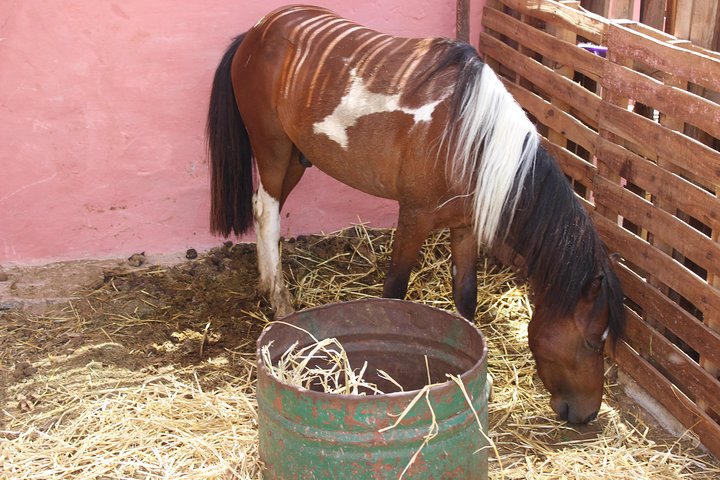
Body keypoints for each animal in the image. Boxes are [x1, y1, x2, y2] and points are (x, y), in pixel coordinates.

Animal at [206, 5, 625, 424]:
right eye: (593, 341)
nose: (587, 413)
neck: (470, 137)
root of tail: (258, 31)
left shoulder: (464, 226)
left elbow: (466, 296)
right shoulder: (413, 217)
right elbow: (395, 291)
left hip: (296, 155)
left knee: (264, 205)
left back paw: (266, 284)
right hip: (273, 148)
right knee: (267, 212)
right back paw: (280, 300)